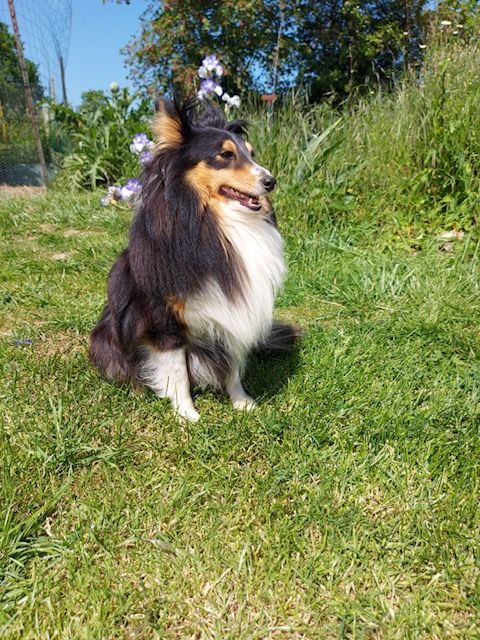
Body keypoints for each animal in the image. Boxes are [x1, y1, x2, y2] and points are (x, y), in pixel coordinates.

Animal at [89, 99, 298, 420]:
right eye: (225, 155)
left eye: (251, 153)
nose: (270, 181)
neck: (216, 223)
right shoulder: (164, 322)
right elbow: (177, 374)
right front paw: (187, 416)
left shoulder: (235, 310)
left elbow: (233, 366)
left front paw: (242, 402)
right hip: (106, 336)